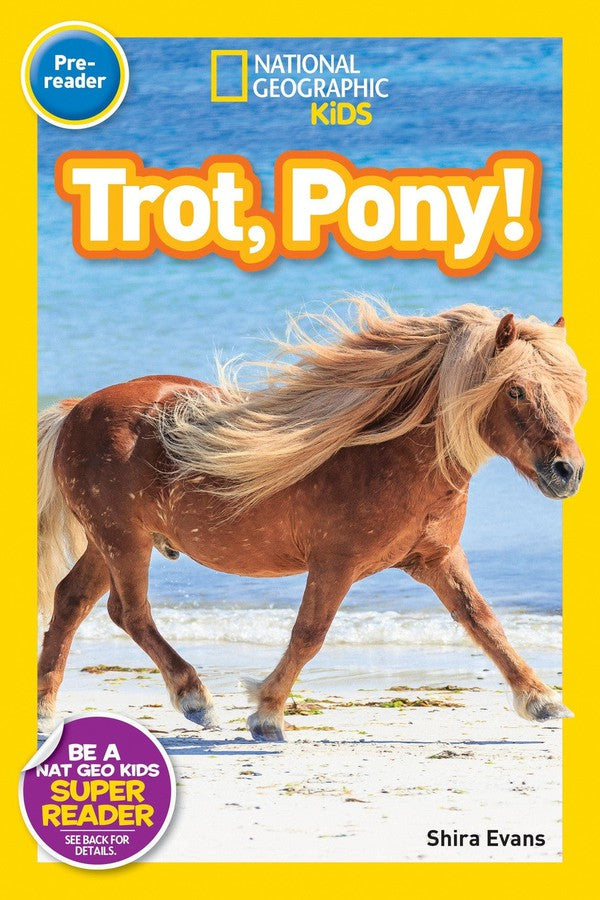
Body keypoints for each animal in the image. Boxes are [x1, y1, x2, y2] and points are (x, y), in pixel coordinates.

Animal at [37, 299, 587, 741]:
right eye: (515, 391)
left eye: (571, 392)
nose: (569, 471)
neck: (386, 456)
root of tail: (77, 409)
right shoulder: (334, 565)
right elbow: (309, 635)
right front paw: (266, 715)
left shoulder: (437, 559)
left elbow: (484, 622)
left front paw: (541, 700)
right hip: (123, 540)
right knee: (129, 613)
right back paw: (196, 699)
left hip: (109, 542)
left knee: (71, 600)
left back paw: (45, 710)